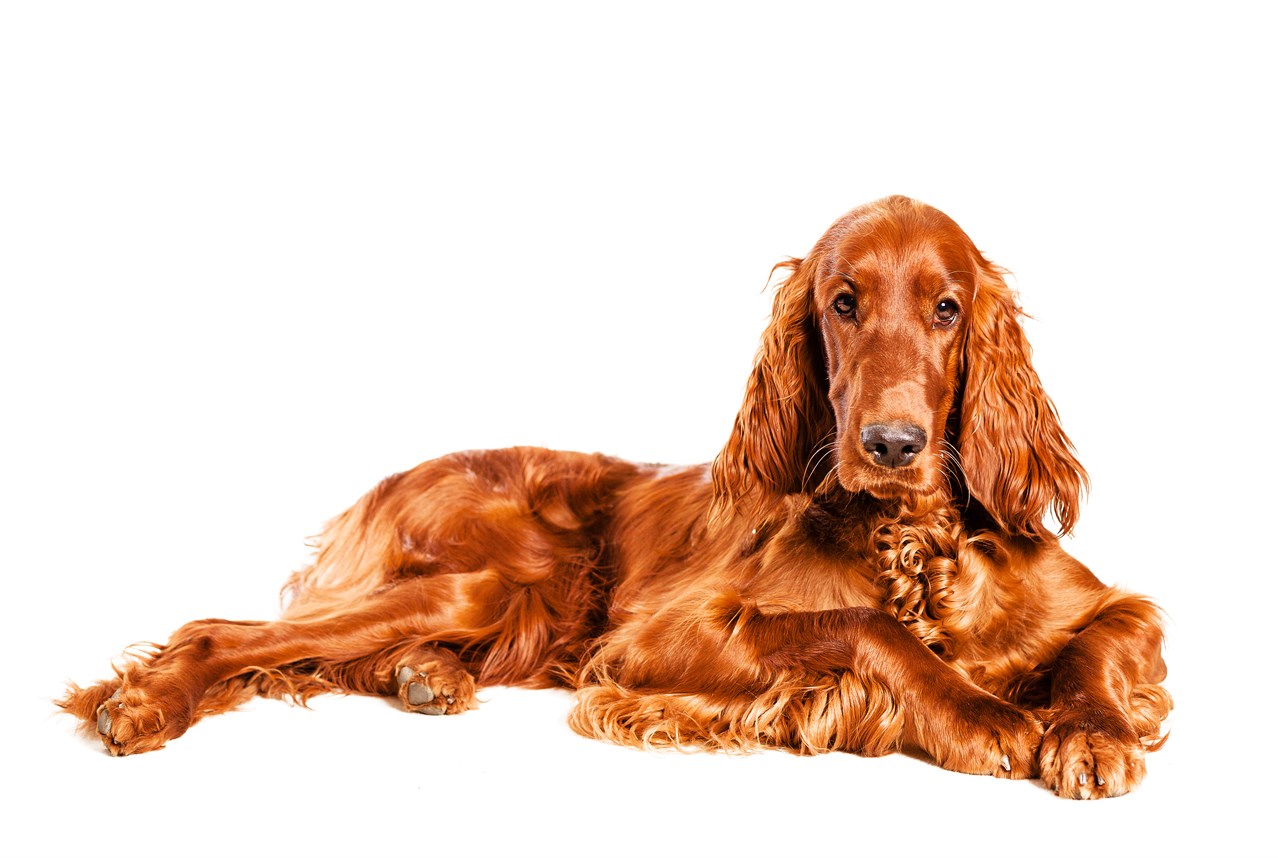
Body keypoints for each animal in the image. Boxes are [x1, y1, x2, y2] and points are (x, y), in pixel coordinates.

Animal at [62, 196, 1175, 797]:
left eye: (947, 307)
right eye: (842, 302)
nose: (893, 445)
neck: (911, 543)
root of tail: (390, 477)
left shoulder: (1113, 604)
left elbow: (1102, 643)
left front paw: (1093, 733)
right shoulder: (652, 641)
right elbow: (867, 627)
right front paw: (982, 714)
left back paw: (427, 676)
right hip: (474, 580)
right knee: (227, 632)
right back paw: (143, 703)